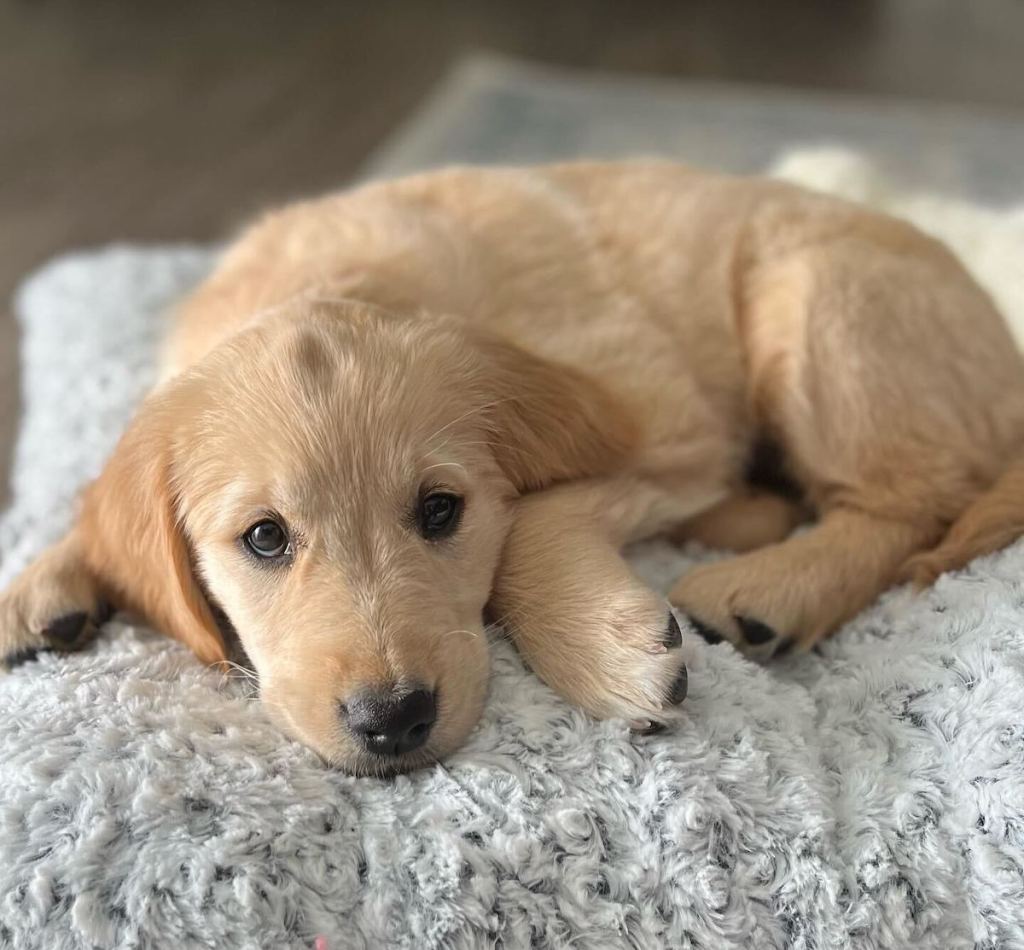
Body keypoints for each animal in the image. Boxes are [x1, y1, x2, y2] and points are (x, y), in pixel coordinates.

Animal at [2, 161, 1024, 769]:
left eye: (441, 511)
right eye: (263, 538)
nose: (394, 722)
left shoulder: (666, 416)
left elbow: (533, 514)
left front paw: (604, 650)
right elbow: (100, 503)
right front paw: (42, 579)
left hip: (817, 312)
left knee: (913, 503)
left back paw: (761, 586)